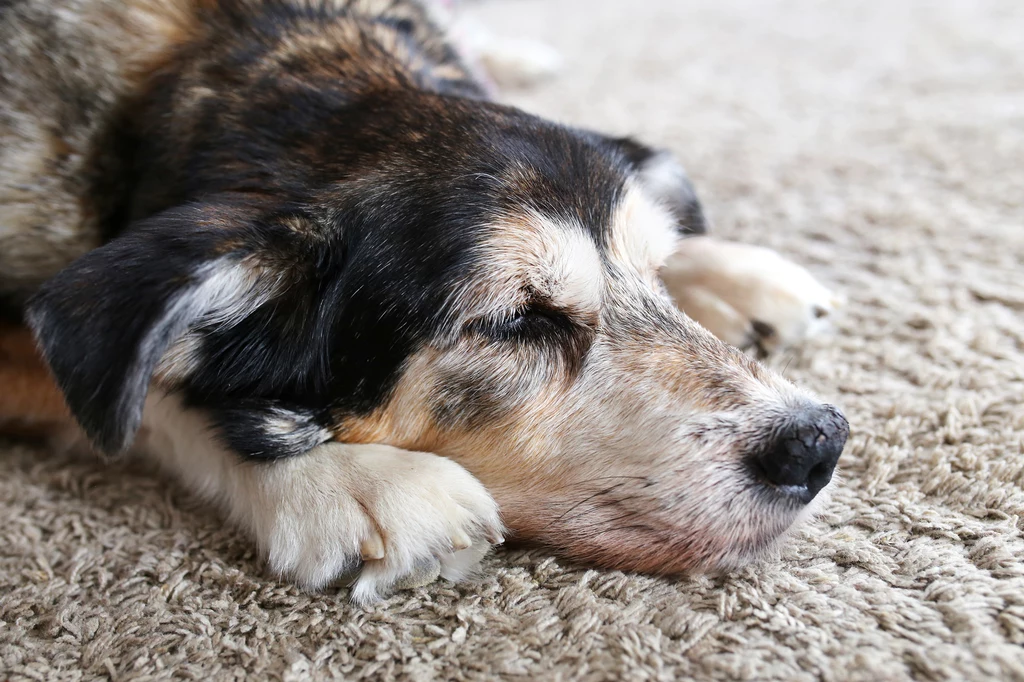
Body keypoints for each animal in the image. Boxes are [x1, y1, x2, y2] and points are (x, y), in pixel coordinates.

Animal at [0, 0, 847, 602]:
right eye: (518, 322)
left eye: (655, 275)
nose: (819, 443)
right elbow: (143, 391)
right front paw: (346, 481)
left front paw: (722, 267)